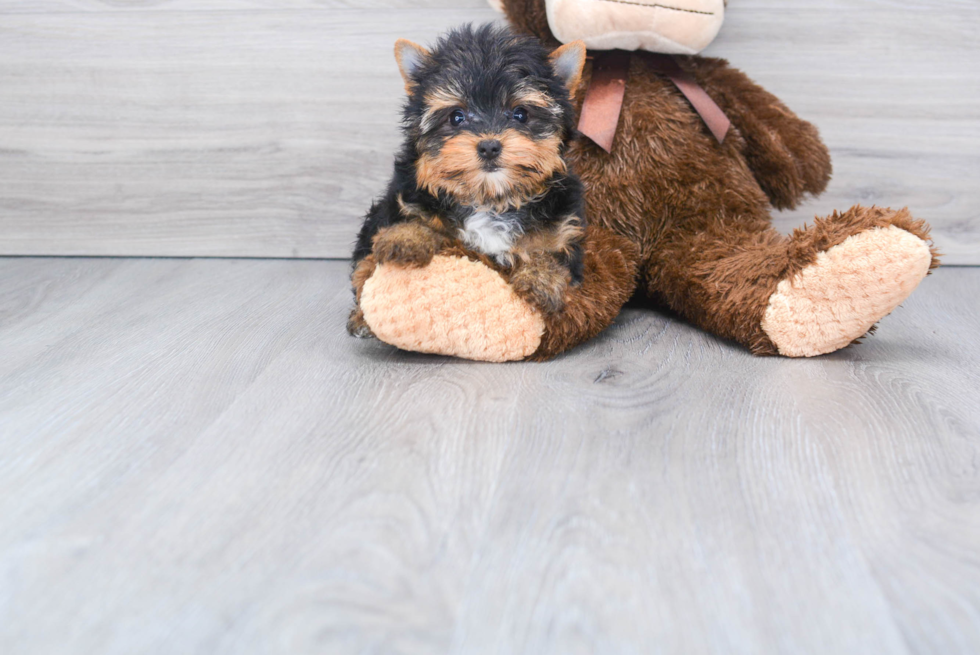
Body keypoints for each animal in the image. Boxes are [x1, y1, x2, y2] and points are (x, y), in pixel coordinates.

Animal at [348, 24, 584, 338]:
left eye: (520, 114)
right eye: (456, 116)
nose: (489, 146)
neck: (489, 199)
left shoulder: (563, 225)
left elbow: (551, 250)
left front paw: (541, 279)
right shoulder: (407, 198)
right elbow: (417, 220)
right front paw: (405, 239)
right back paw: (362, 318)